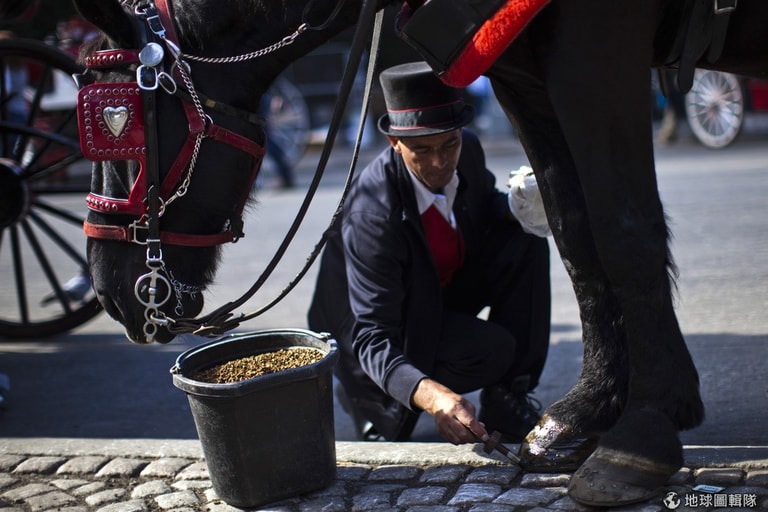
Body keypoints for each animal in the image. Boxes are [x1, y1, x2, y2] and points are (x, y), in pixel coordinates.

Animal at [73, 0, 768, 506]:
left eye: (120, 127)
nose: (111, 292)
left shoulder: (594, 47)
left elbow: (624, 231)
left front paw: (643, 432)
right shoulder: (525, 67)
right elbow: (574, 233)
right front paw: (592, 407)